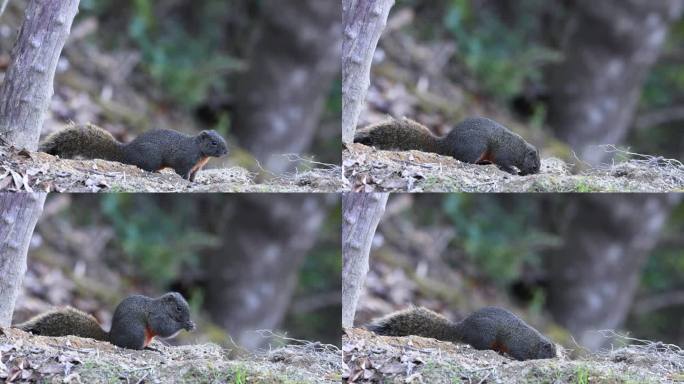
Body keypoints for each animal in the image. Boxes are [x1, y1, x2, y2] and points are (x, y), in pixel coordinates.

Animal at [14, 292, 195, 350]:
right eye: (179, 308)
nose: (188, 319)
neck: (163, 307)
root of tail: (111, 337)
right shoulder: (156, 315)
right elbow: (163, 328)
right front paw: (185, 324)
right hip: (137, 334)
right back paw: (148, 348)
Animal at [38, 124, 230, 182]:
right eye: (213, 142)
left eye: (222, 138)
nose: (226, 152)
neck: (200, 152)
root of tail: (127, 152)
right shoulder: (185, 161)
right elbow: (182, 172)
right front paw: (185, 182)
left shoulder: (196, 167)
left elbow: (193, 176)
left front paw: (194, 183)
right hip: (151, 158)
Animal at [352, 116, 540, 175]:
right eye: (535, 164)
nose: (537, 172)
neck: (520, 151)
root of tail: (447, 144)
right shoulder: (504, 154)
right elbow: (503, 163)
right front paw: (513, 170)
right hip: (476, 148)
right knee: (463, 159)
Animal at [368, 306, 556, 360]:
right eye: (550, 352)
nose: (555, 357)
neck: (535, 343)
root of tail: (463, 328)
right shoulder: (519, 345)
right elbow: (519, 355)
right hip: (486, 336)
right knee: (480, 346)